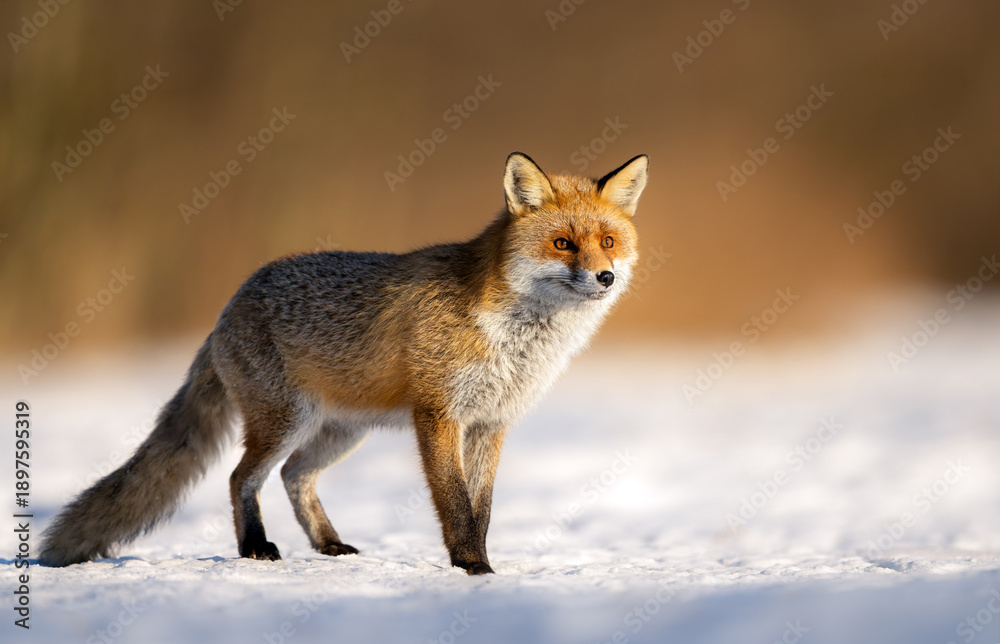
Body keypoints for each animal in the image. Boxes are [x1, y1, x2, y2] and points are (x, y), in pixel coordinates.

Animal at [39, 151, 648, 574]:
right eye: (563, 243)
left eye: (608, 241)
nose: (605, 277)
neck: (517, 337)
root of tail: (231, 303)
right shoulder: (439, 415)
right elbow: (455, 505)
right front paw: (472, 569)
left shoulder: (491, 423)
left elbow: (483, 507)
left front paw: (481, 563)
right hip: (285, 421)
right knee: (242, 476)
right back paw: (254, 547)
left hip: (340, 431)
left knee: (293, 475)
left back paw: (327, 543)